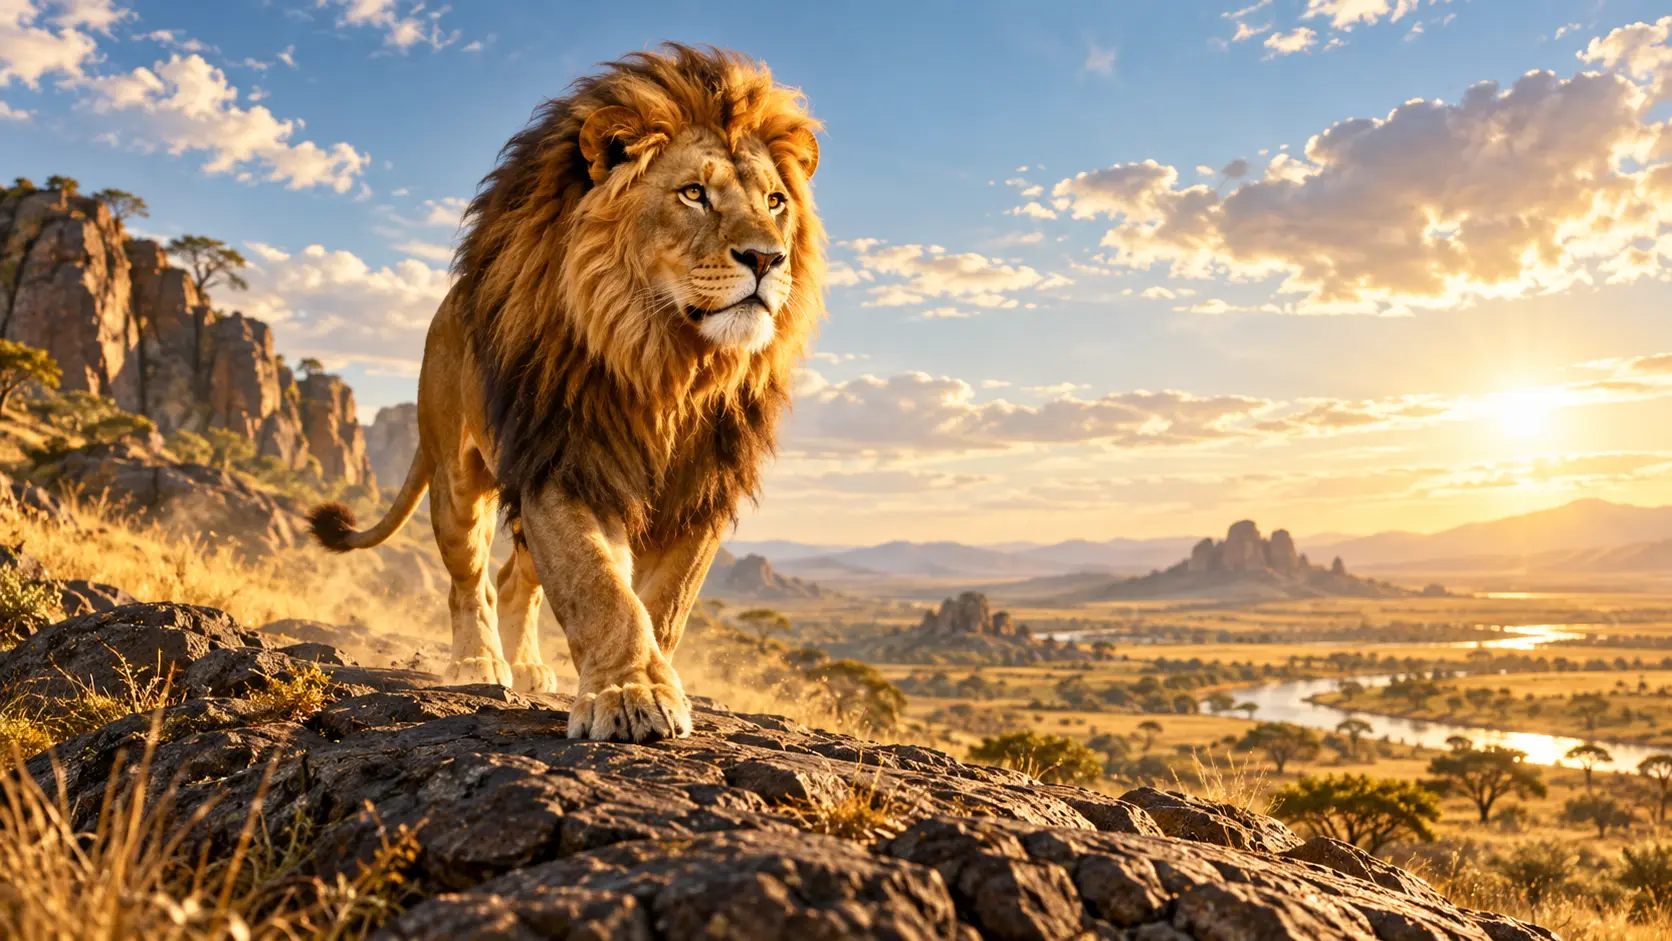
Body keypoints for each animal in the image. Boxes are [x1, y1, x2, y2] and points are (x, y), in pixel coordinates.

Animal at [305, 44, 824, 744]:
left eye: (774, 202)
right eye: (693, 193)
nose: (768, 259)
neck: (668, 362)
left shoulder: (702, 487)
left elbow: (663, 604)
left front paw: (651, 678)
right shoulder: (563, 458)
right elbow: (599, 587)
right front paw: (630, 693)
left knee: (512, 578)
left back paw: (527, 667)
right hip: (456, 477)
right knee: (471, 581)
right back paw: (477, 664)